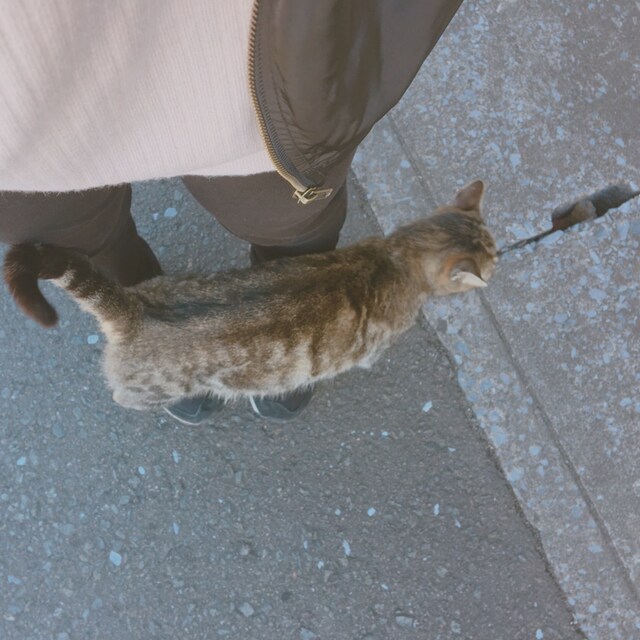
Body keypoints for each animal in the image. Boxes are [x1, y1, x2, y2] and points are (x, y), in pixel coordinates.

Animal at [3, 180, 497, 411]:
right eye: (491, 257)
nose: (498, 265)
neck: (397, 255)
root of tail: (136, 309)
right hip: (151, 389)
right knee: (125, 398)